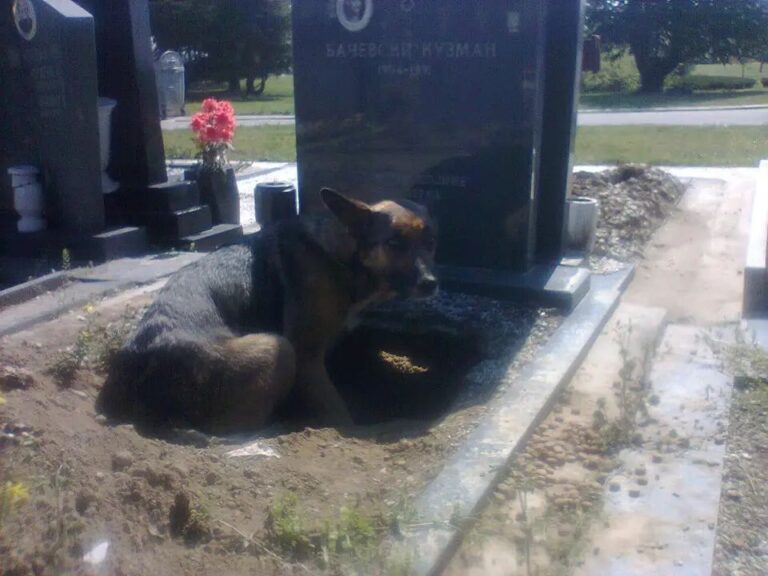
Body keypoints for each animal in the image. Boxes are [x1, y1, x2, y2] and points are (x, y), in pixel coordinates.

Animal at [96, 189, 438, 432]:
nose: (431, 283)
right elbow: (339, 414)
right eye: (394, 243)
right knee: (236, 426)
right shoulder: (306, 357)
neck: (340, 257)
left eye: (431, 241)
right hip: (276, 347)